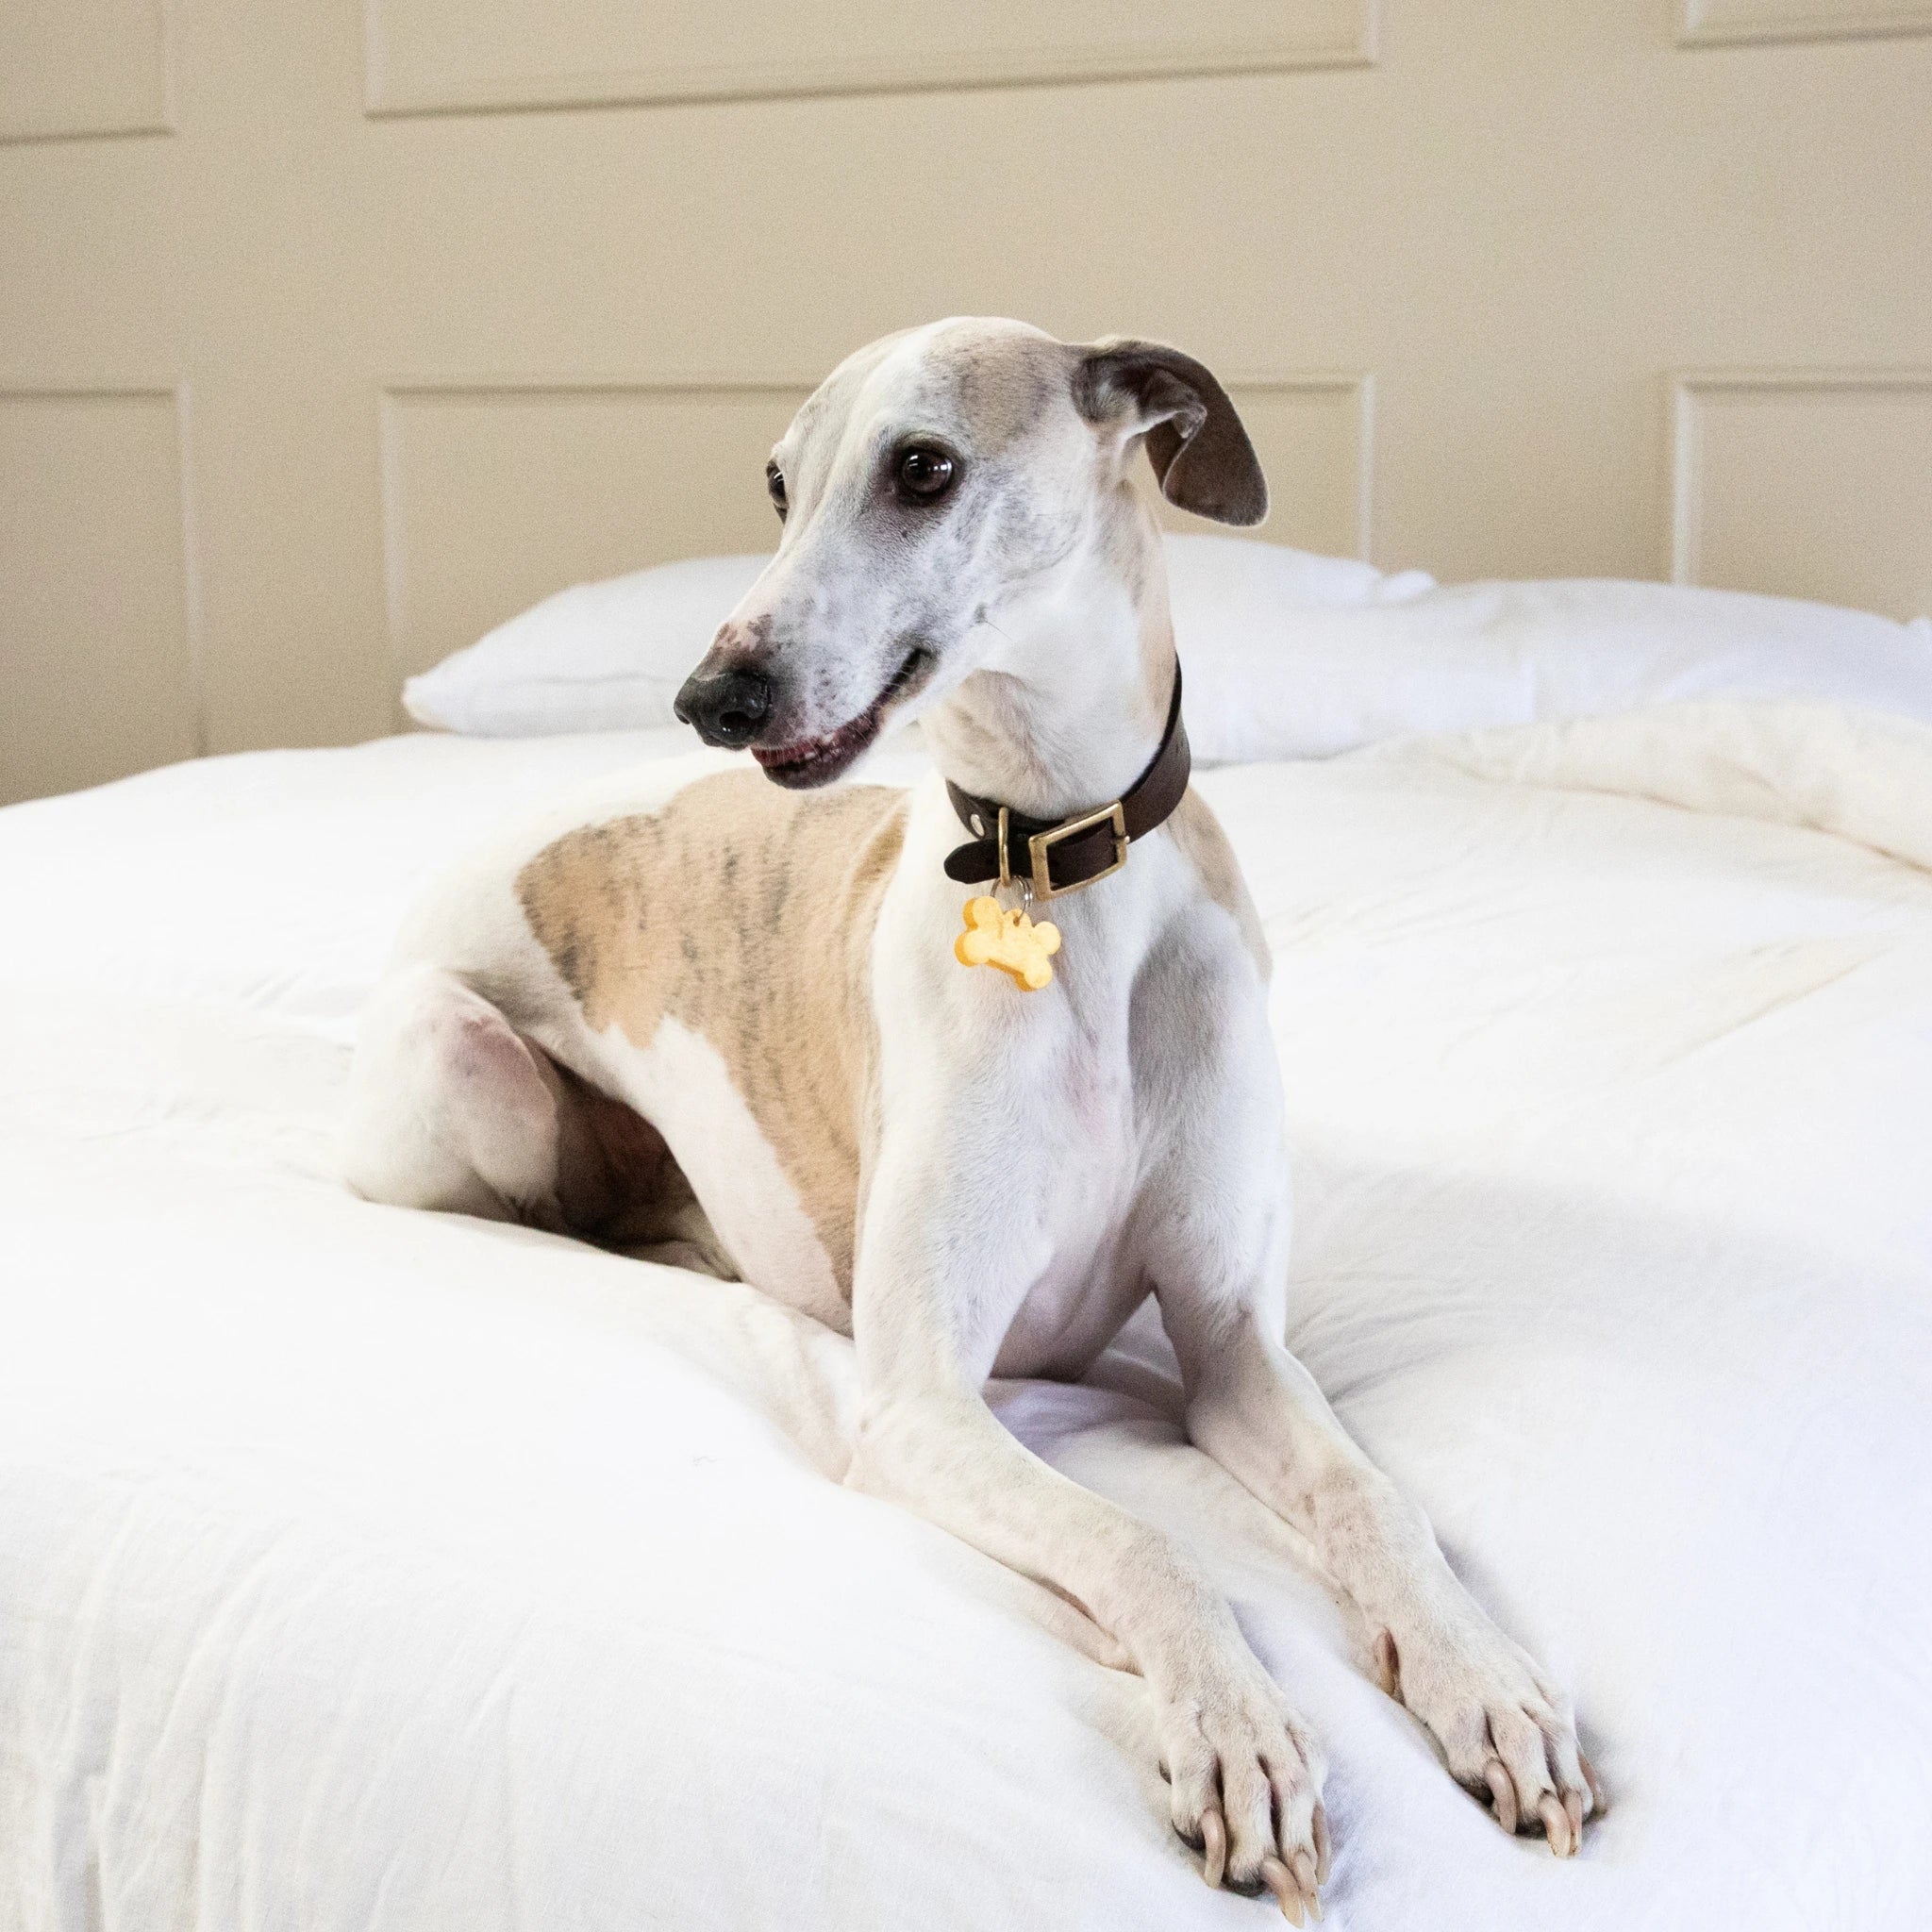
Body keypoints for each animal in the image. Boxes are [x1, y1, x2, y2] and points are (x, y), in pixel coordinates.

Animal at [341, 317, 1600, 1917]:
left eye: (924, 467)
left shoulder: (1230, 1346)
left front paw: (1486, 1681)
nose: (711, 698)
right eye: (776, 485)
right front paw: (1237, 1732)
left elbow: (1374, 1504)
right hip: (456, 1056)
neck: (1055, 872)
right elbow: (1150, 1545)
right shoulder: (926, 1404)